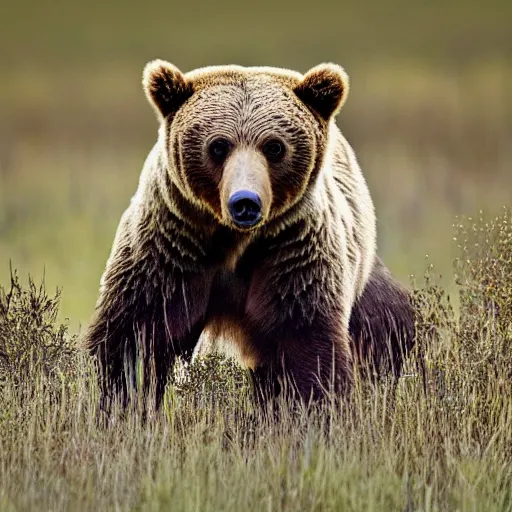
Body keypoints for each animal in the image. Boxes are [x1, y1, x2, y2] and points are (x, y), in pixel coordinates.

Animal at [84, 61, 412, 412]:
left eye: (275, 146)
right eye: (218, 145)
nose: (245, 202)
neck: (233, 241)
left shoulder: (292, 254)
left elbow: (306, 346)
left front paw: (312, 409)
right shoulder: (170, 248)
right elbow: (133, 338)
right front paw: (120, 403)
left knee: (389, 332)